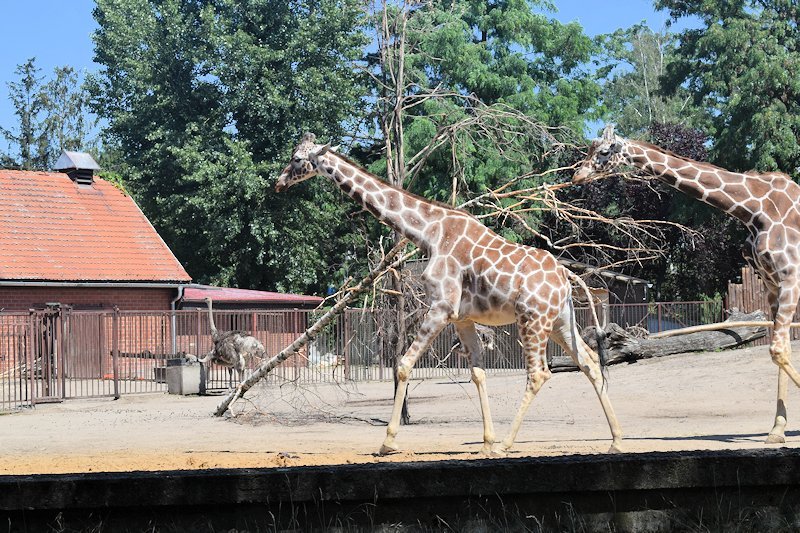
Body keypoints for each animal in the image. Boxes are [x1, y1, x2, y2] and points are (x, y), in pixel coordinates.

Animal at [276, 132, 624, 454]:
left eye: (296, 159)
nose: (278, 184)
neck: (428, 232)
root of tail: (565, 275)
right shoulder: (462, 318)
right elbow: (478, 374)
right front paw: (485, 443)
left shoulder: (441, 306)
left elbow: (403, 365)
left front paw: (388, 442)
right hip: (560, 321)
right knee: (590, 363)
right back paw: (616, 441)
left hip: (533, 319)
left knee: (539, 374)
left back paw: (508, 444)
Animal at [580, 122, 800, 442]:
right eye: (590, 148)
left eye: (605, 151)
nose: (578, 175)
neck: (753, 209)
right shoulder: (771, 283)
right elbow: (780, 349)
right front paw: (777, 430)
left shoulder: (790, 277)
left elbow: (778, 349)